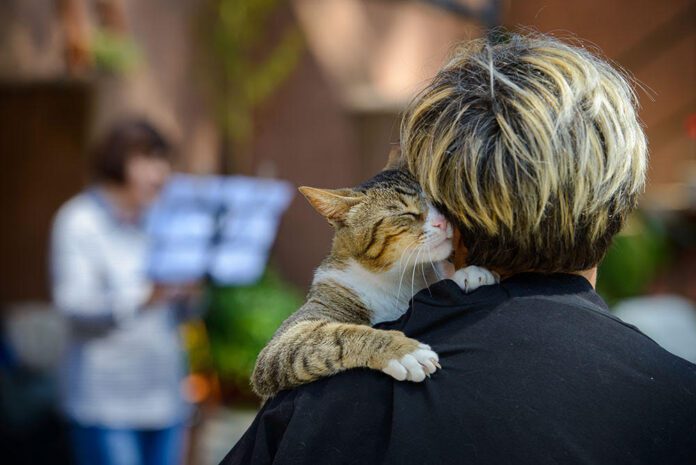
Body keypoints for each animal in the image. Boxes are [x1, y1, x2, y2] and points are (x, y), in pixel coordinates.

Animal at [253, 167, 498, 396]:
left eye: (439, 204)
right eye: (408, 213)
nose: (444, 222)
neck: (397, 278)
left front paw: (468, 273)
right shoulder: (283, 342)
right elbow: (336, 334)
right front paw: (404, 351)